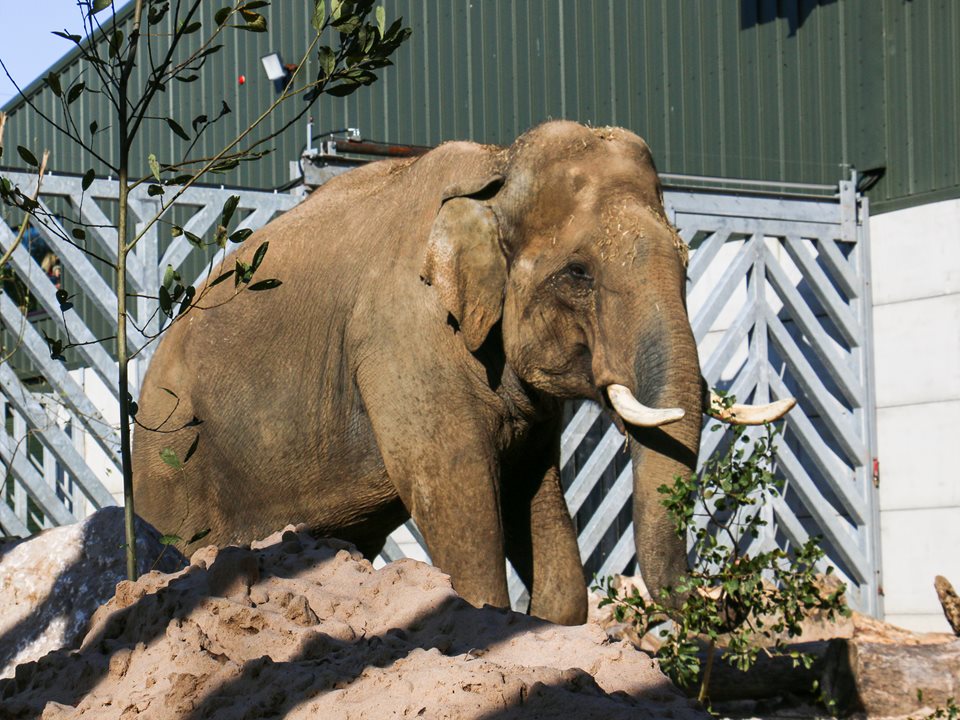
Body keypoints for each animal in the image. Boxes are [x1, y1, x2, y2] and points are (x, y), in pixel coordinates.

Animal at [137, 119, 796, 624]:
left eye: (686, 263)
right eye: (578, 273)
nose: (734, 597)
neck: (495, 169)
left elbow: (532, 488)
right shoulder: (405, 335)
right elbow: (453, 482)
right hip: (173, 465)